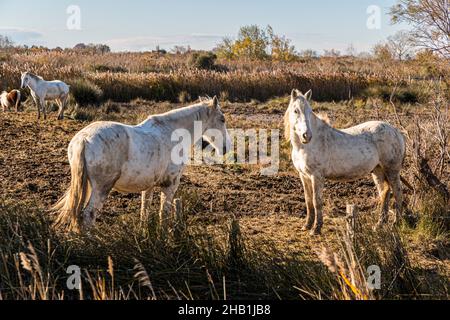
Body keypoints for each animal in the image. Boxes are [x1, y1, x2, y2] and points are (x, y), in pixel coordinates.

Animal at [52, 96, 232, 234]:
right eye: (222, 119)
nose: (226, 148)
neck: (172, 133)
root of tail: (84, 138)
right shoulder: (170, 185)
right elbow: (164, 214)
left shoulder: (149, 186)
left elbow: (144, 211)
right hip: (101, 188)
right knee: (88, 215)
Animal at [286, 89, 406, 235]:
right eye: (296, 110)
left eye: (310, 111)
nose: (306, 135)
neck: (306, 146)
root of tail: (396, 131)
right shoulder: (304, 176)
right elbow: (308, 201)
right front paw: (307, 225)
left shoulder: (316, 176)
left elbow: (316, 201)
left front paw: (316, 229)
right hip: (378, 170)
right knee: (385, 192)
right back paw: (379, 225)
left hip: (391, 170)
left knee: (397, 191)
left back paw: (396, 223)